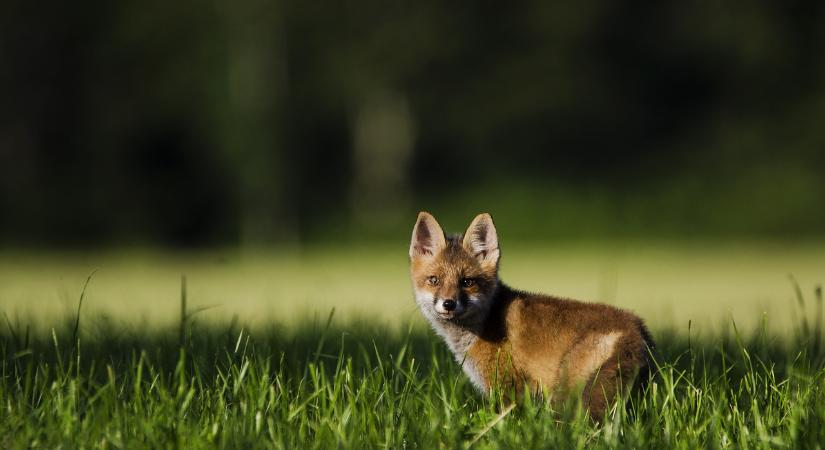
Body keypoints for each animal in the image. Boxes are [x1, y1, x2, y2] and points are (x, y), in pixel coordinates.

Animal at [408, 212, 652, 422]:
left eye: (467, 282)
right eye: (434, 280)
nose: (448, 304)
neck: (483, 325)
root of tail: (637, 328)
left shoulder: (508, 386)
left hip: (566, 388)